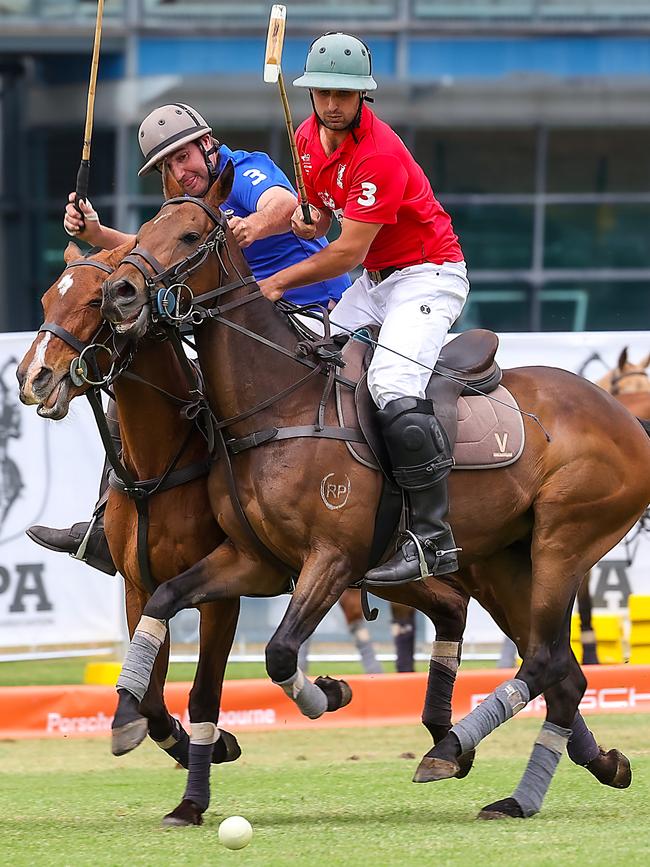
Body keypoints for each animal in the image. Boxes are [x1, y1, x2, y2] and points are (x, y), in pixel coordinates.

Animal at [17, 242, 240, 828]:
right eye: (46, 298)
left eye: (95, 300)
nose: (32, 377)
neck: (161, 457)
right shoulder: (143, 589)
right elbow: (150, 696)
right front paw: (170, 737)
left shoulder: (222, 592)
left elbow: (204, 691)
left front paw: (195, 792)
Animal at [101, 163, 644, 820]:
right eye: (139, 233)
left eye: (187, 236)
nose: (120, 293)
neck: (278, 403)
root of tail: (624, 416)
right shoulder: (252, 558)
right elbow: (165, 598)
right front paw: (138, 727)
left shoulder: (334, 557)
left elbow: (280, 650)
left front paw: (329, 693)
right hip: (508, 557)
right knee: (563, 670)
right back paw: (534, 788)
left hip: (564, 540)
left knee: (545, 658)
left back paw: (455, 750)